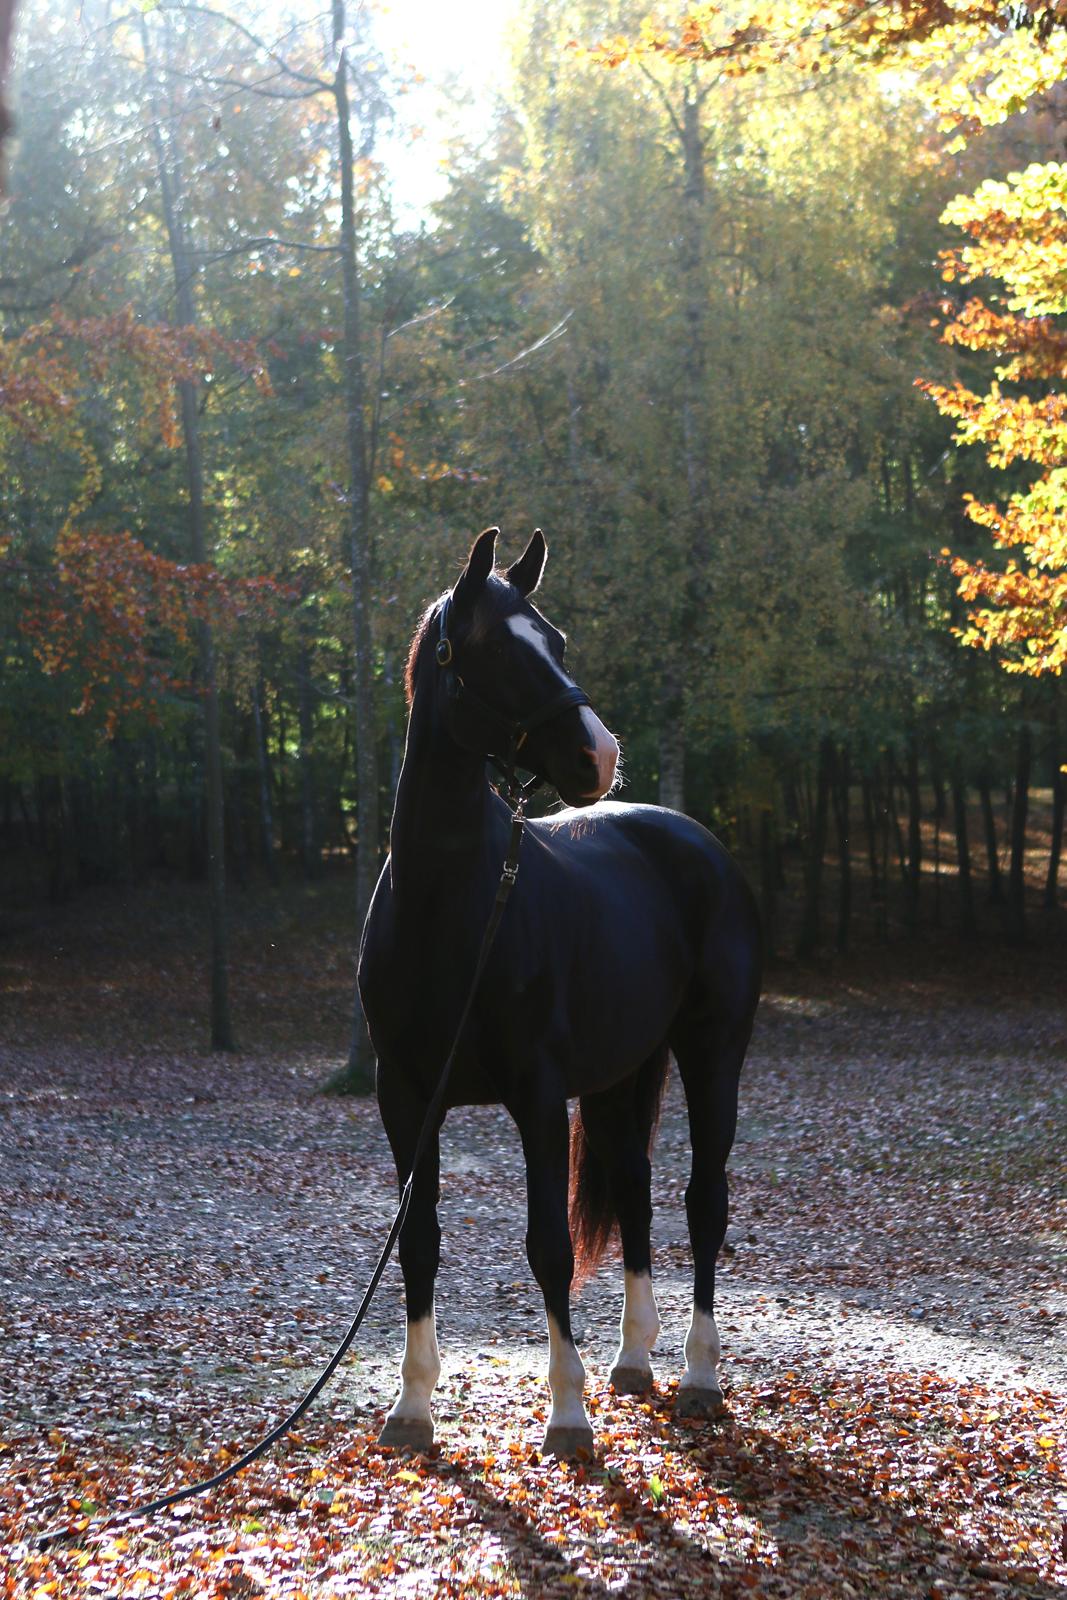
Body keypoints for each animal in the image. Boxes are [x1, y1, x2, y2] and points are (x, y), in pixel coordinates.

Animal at [358, 531, 758, 1459]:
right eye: (494, 650)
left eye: (558, 642)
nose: (598, 756)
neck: (453, 906)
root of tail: (694, 843)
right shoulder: (405, 1097)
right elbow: (418, 1240)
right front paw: (413, 1407)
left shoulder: (536, 1095)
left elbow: (548, 1246)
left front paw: (567, 1414)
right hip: (622, 1075)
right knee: (638, 1192)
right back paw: (634, 1361)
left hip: (710, 1055)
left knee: (703, 1202)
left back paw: (698, 1376)